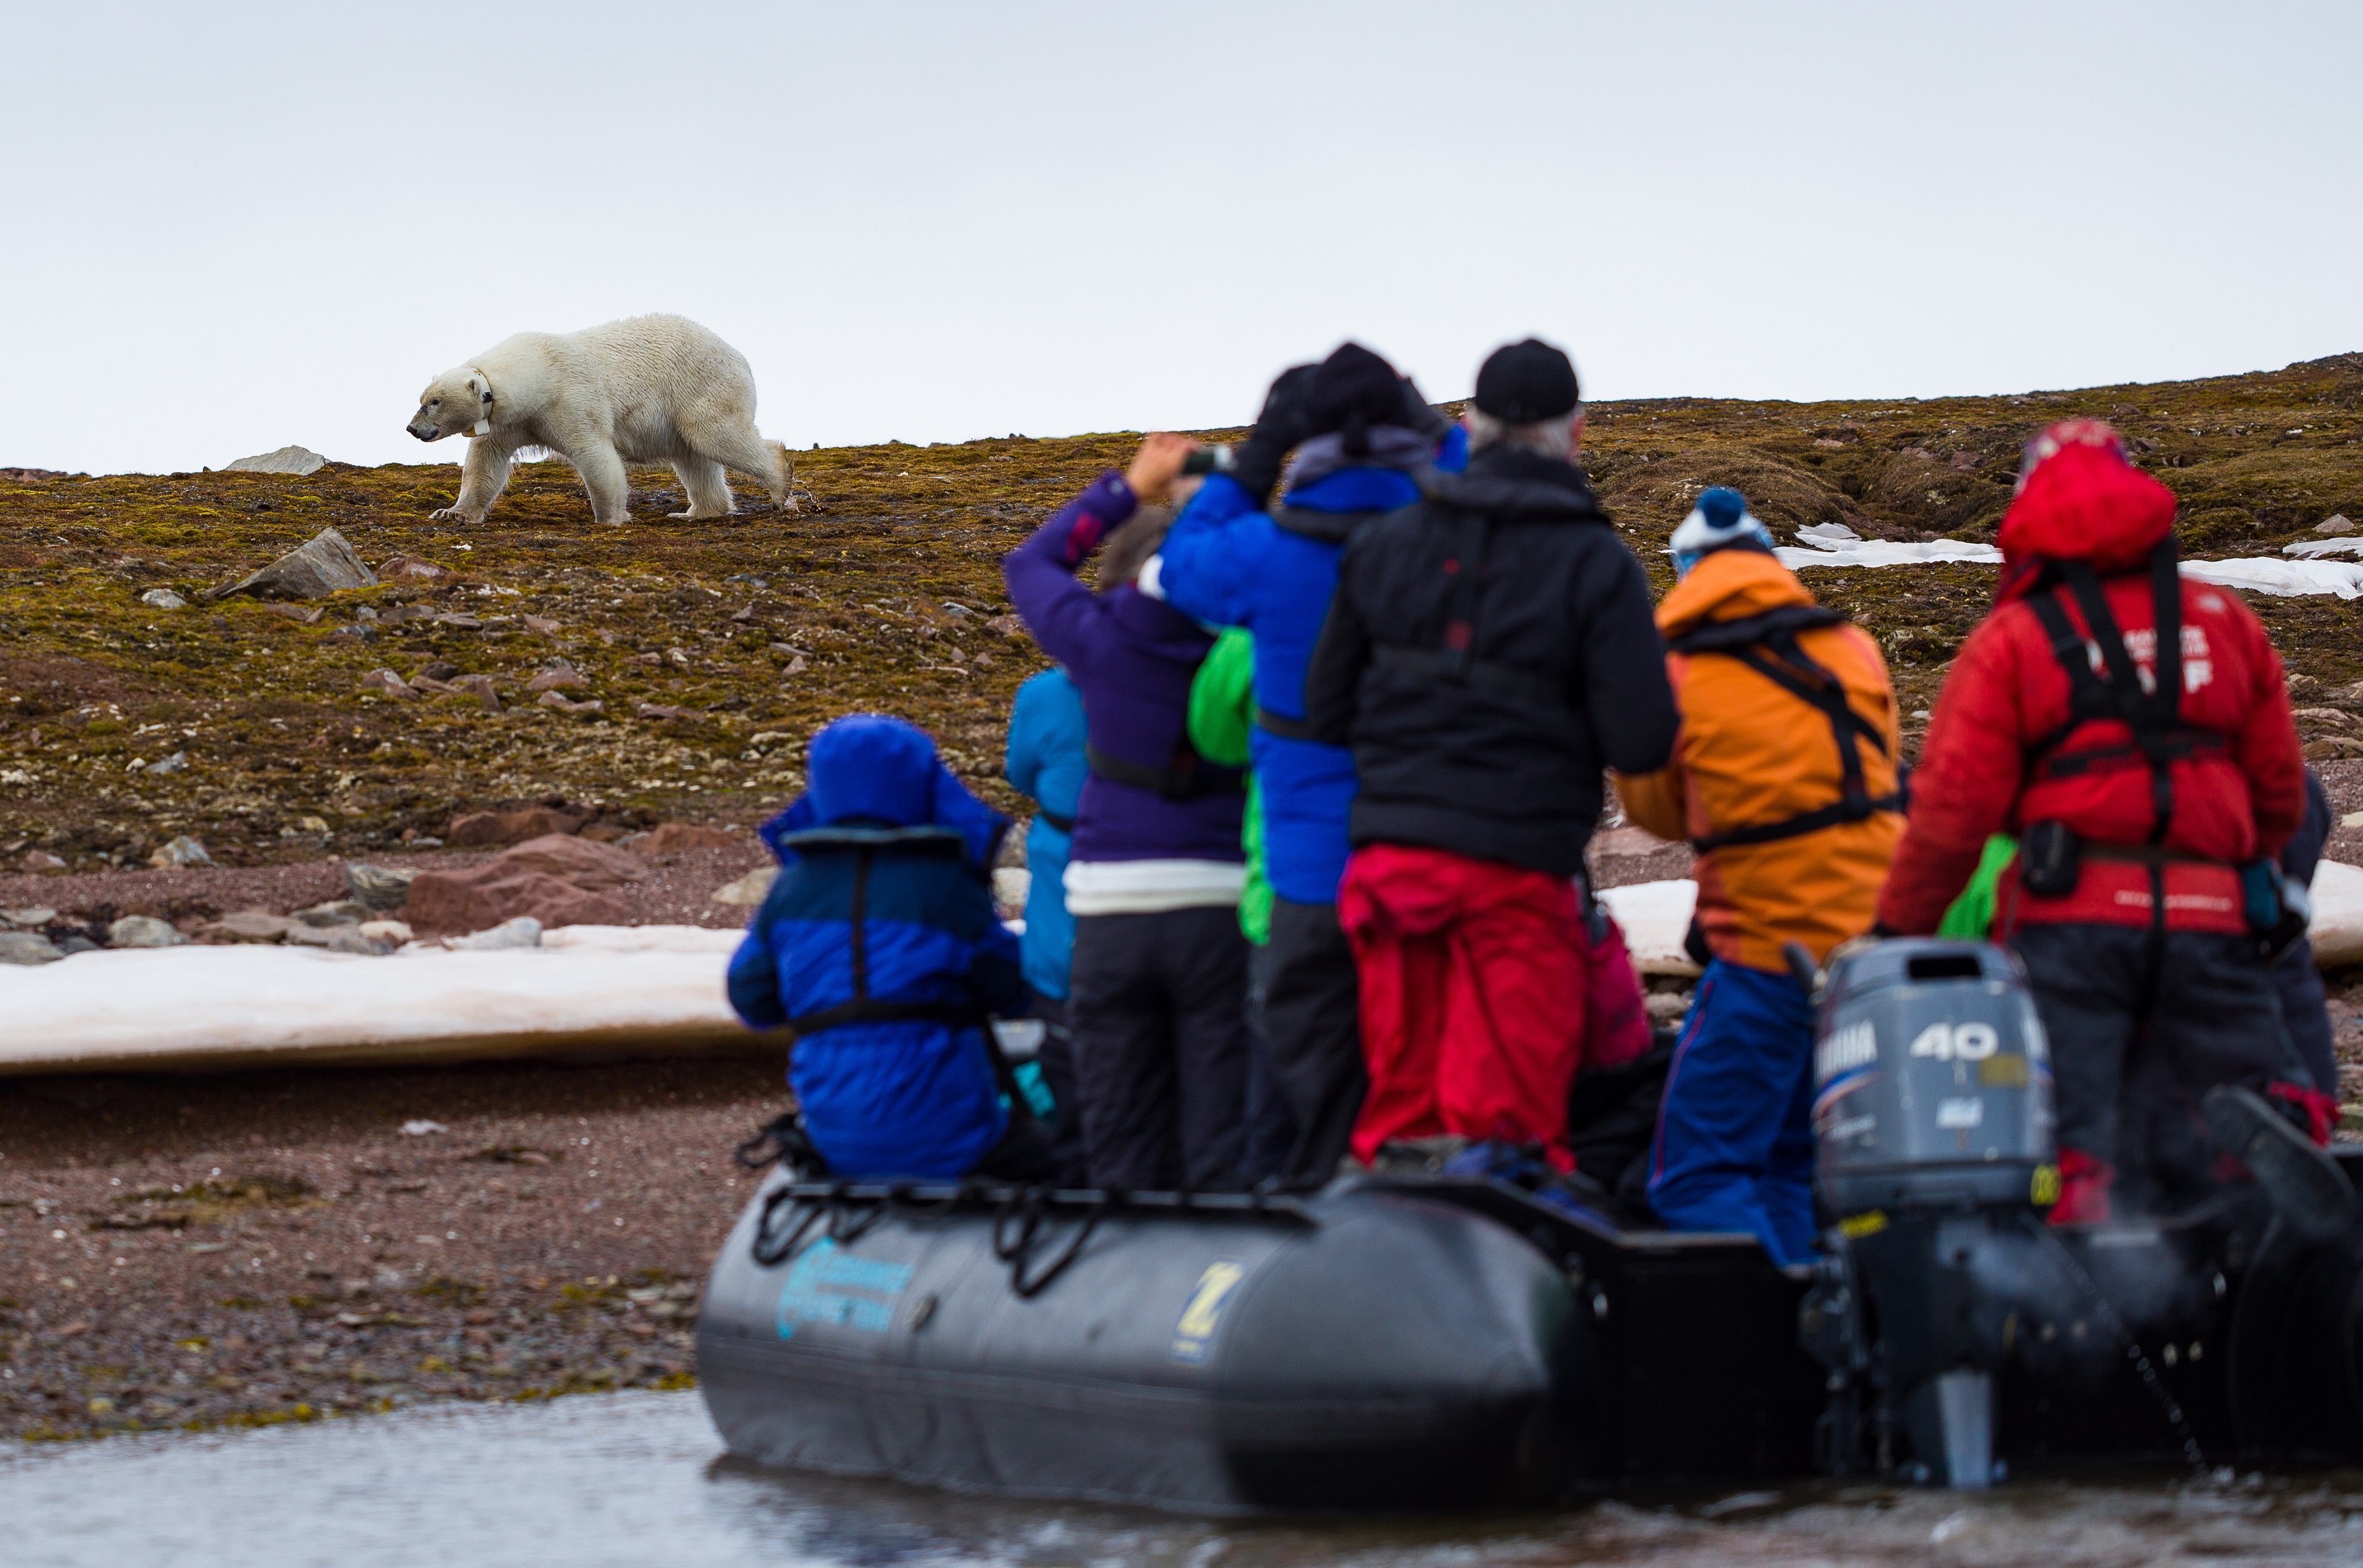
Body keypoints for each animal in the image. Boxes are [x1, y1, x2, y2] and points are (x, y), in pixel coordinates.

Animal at [405, 314, 795, 526]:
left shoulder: (570, 400)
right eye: (422, 400)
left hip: (701, 386)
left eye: (434, 403)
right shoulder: (510, 421)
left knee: (716, 437)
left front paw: (611, 518)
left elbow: (595, 454)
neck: (536, 374)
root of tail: (738, 355)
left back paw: (781, 485)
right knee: (694, 458)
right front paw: (452, 513)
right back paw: (698, 513)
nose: (412, 429)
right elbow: (486, 462)